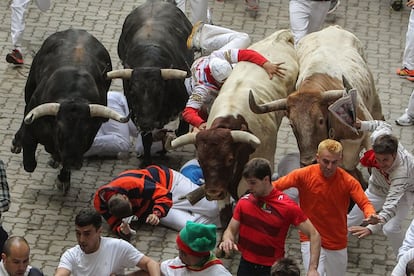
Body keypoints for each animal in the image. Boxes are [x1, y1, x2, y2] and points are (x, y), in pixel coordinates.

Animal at [11, 28, 128, 192]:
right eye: (60, 132)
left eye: (86, 132)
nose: (73, 162)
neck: (74, 94)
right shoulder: (32, 124)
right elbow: (29, 163)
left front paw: (63, 178)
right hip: (30, 85)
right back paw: (17, 143)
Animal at [109, 1, 195, 165]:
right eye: (132, 92)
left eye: (159, 91)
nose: (146, 123)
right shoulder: (136, 112)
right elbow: (147, 139)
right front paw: (147, 161)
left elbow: (181, 129)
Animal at [247, 25, 384, 187]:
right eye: (292, 124)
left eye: (320, 120)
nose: (308, 162)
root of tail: (330, 28)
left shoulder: (368, 136)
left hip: (374, 100)